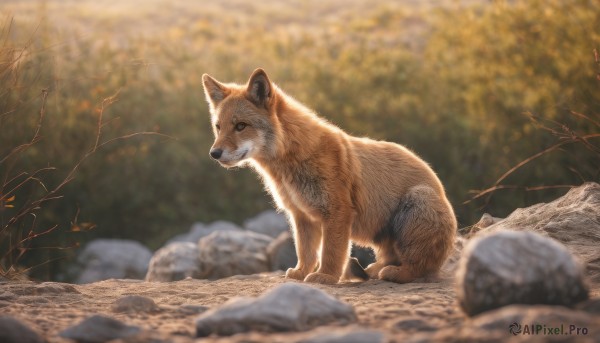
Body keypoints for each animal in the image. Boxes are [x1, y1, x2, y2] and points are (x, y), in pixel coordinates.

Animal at [204, 68, 458, 284]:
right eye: (218, 127)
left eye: (241, 126)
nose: (214, 154)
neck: (293, 159)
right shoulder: (301, 216)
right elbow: (306, 252)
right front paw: (302, 273)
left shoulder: (337, 212)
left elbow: (331, 252)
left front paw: (325, 276)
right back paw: (371, 271)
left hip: (416, 202)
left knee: (419, 268)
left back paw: (394, 273)